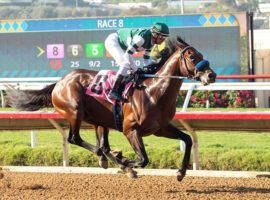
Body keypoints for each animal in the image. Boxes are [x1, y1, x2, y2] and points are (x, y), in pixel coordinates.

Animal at [7, 36, 216, 181]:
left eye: (202, 55)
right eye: (192, 56)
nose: (211, 75)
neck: (153, 91)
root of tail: (60, 82)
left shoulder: (160, 128)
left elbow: (187, 139)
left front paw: (181, 172)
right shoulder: (130, 129)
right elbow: (143, 159)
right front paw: (127, 164)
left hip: (100, 121)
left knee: (103, 146)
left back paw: (110, 159)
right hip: (75, 111)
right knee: (76, 139)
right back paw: (113, 160)